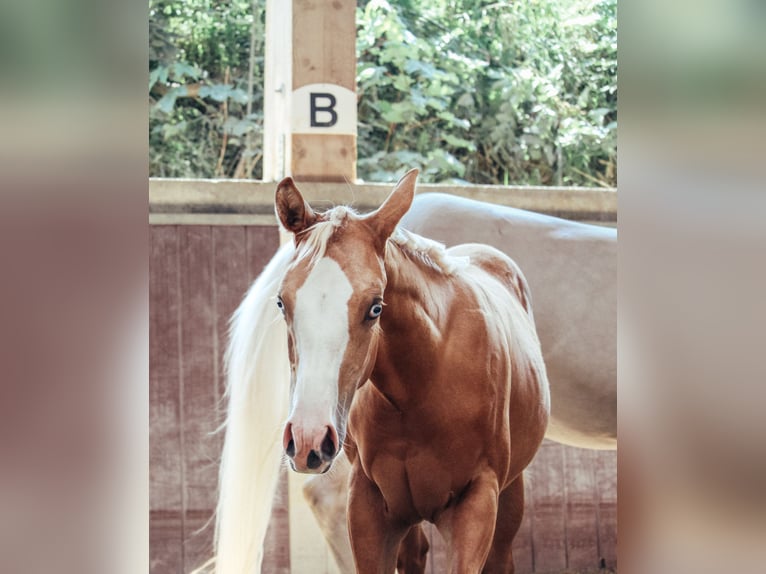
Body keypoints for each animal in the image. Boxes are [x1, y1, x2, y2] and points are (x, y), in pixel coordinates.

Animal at [207, 170, 550, 574]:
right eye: (280, 302)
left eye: (375, 307)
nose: (308, 439)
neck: (423, 387)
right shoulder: (368, 507)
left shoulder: (476, 503)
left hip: (508, 501)